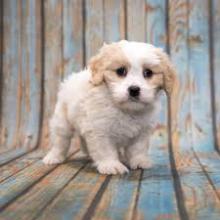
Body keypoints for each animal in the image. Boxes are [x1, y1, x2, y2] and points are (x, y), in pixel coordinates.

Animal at [43, 40, 176, 174]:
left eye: (148, 73)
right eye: (121, 71)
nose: (134, 90)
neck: (126, 110)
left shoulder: (142, 132)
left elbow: (138, 149)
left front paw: (139, 161)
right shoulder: (99, 130)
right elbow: (105, 150)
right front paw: (111, 165)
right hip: (62, 121)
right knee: (60, 141)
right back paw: (53, 157)